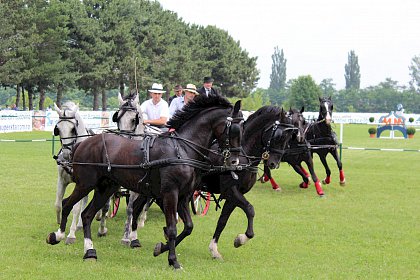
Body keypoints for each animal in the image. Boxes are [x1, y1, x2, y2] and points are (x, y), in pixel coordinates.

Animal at [45, 95, 243, 270]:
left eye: (242, 128)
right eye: (234, 129)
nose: (234, 161)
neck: (182, 149)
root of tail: (82, 144)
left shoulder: (183, 196)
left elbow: (187, 227)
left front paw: (160, 248)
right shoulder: (170, 194)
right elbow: (172, 228)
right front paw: (173, 260)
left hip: (106, 188)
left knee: (87, 215)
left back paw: (90, 251)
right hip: (86, 184)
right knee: (67, 204)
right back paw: (59, 235)